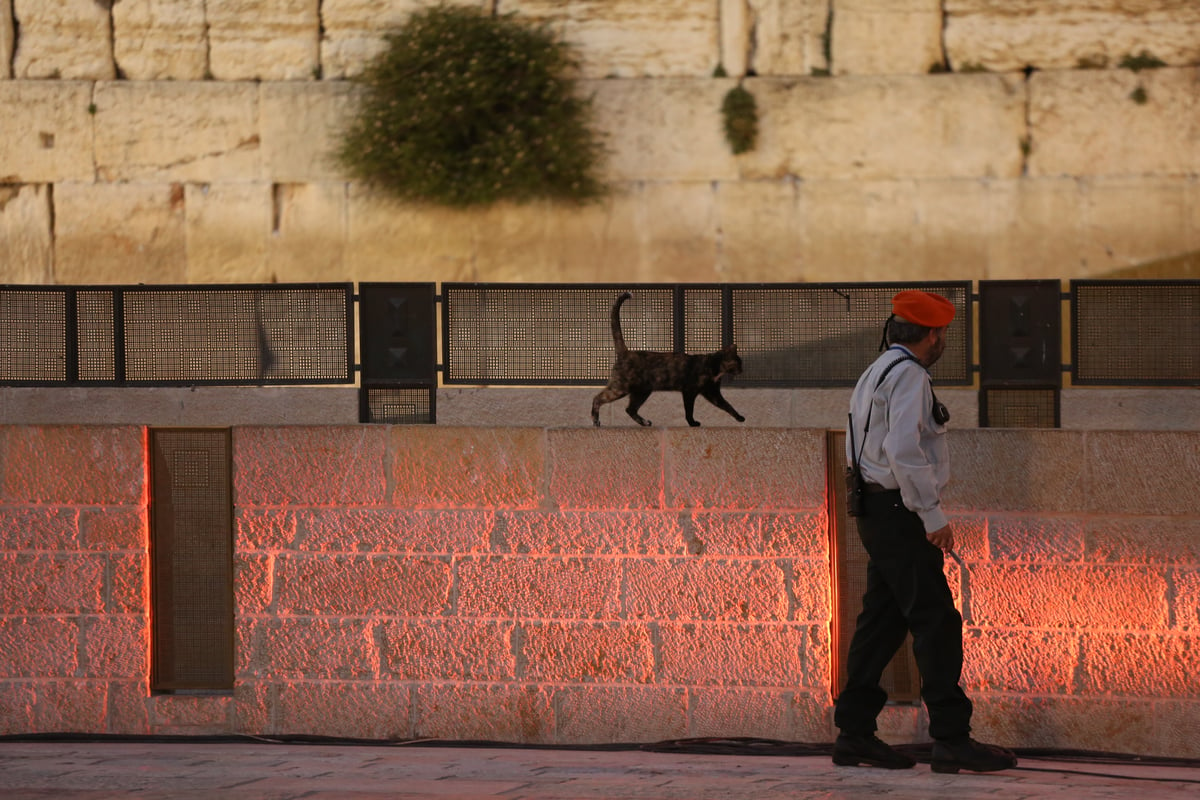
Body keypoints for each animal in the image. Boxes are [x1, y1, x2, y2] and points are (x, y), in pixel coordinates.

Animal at [588, 292, 744, 429]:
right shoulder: (689, 390)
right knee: (598, 398)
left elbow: (727, 405)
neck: (714, 366)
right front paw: (693, 423)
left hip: (642, 391)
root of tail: (626, 352)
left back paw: (645, 423)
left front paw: (740, 417)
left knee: (630, 409)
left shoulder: (712, 392)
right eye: (738, 362)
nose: (743, 370)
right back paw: (596, 422)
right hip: (621, 387)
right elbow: (689, 410)